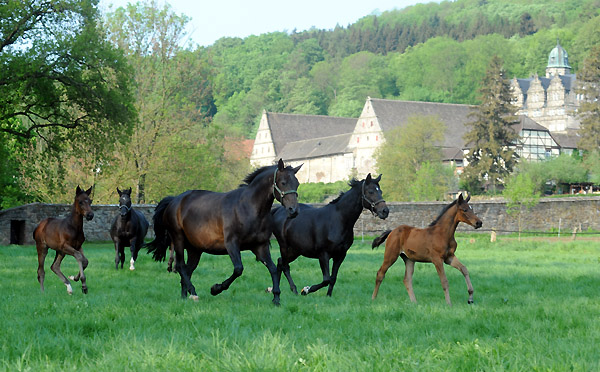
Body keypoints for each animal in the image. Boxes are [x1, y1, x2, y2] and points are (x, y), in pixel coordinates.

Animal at [146, 158, 300, 306]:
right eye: (283, 182)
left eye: (297, 184)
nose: (293, 210)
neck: (249, 208)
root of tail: (174, 200)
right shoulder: (231, 244)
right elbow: (238, 269)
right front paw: (215, 289)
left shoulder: (260, 246)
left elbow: (273, 268)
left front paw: (276, 298)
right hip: (178, 239)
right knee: (180, 266)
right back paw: (193, 292)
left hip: (195, 249)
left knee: (188, 270)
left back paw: (185, 296)